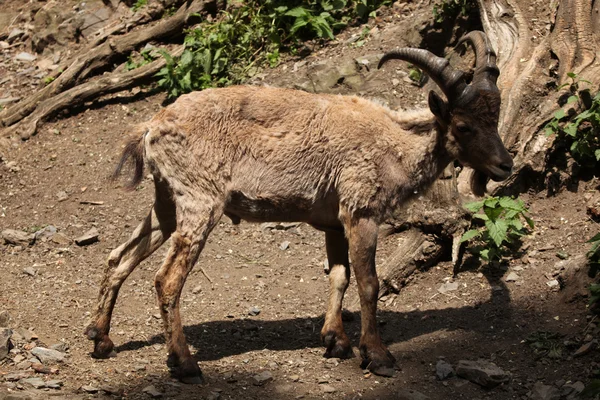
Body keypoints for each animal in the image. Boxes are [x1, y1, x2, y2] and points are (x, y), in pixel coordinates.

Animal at [86, 30, 512, 382]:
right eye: (463, 126)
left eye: (494, 117)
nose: (505, 165)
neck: (394, 144)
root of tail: (151, 127)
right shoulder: (360, 212)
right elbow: (369, 282)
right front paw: (377, 355)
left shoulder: (333, 223)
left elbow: (338, 276)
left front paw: (335, 341)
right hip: (199, 202)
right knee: (167, 278)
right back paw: (185, 363)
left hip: (166, 201)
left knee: (119, 256)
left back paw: (100, 337)